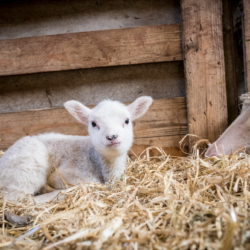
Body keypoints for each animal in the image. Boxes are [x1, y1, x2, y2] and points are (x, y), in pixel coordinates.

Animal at [0, 95, 152, 201]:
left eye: (126, 121)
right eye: (93, 123)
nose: (112, 136)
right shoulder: (67, 174)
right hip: (27, 166)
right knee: (17, 198)